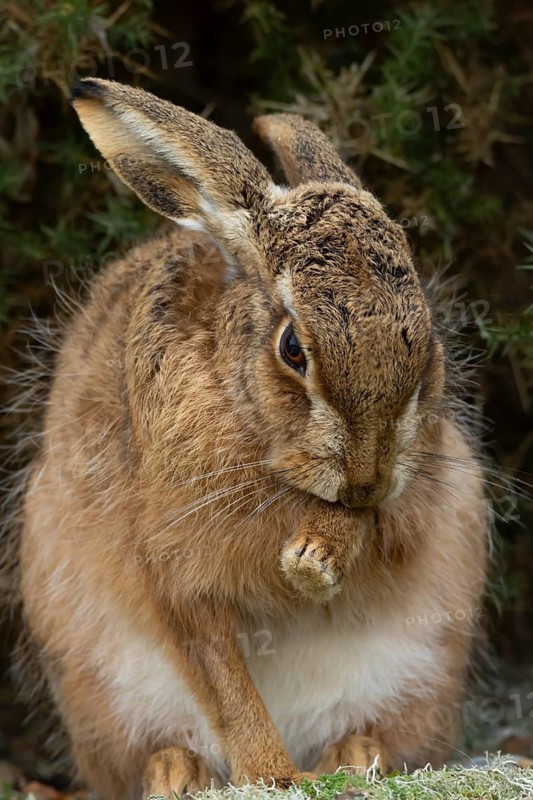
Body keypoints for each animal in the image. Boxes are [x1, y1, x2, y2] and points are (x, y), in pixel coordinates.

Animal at [15, 77, 488, 800]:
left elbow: (379, 528)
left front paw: (314, 557)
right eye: (293, 348)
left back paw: (354, 756)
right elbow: (222, 678)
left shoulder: (427, 482)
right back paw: (176, 771)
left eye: (425, 341)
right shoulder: (171, 559)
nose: (367, 477)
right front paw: (272, 775)